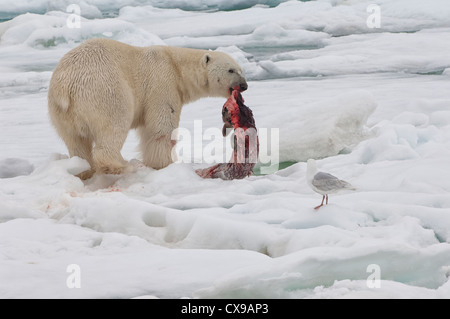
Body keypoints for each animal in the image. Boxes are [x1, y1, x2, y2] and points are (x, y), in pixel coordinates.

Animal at [48, 38, 250, 180]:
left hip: (61, 113)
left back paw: (83, 169)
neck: (176, 66)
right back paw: (119, 165)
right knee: (114, 125)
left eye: (241, 70)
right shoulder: (162, 83)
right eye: (231, 70)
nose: (244, 85)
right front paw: (164, 164)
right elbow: (161, 128)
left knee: (76, 142)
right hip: (105, 92)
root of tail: (65, 85)